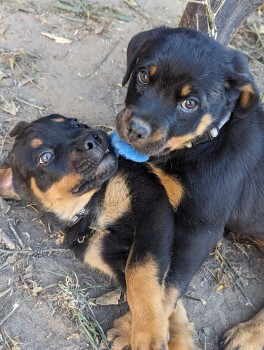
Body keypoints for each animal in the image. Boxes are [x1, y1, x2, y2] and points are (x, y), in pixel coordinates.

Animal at [0, 115, 194, 350]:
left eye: (74, 122)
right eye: (45, 157)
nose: (93, 138)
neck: (89, 209)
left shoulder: (152, 208)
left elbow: (142, 275)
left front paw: (148, 334)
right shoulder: (104, 253)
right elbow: (147, 286)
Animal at [117, 27, 264, 350]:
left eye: (190, 103)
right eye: (143, 76)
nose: (135, 130)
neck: (204, 143)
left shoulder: (201, 227)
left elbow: (170, 283)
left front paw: (138, 328)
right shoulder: (150, 190)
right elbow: (145, 268)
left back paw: (248, 334)